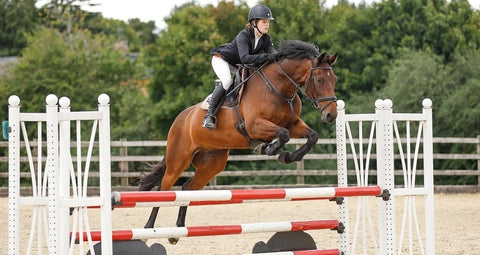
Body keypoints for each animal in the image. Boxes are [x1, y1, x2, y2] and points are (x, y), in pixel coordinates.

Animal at [138, 39, 338, 245]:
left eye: (335, 80)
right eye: (319, 80)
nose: (331, 115)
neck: (279, 88)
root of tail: (180, 119)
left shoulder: (293, 124)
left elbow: (311, 136)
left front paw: (287, 156)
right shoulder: (254, 125)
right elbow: (283, 135)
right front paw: (268, 148)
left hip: (211, 164)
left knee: (187, 188)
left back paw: (177, 232)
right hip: (178, 160)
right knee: (163, 189)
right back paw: (147, 231)